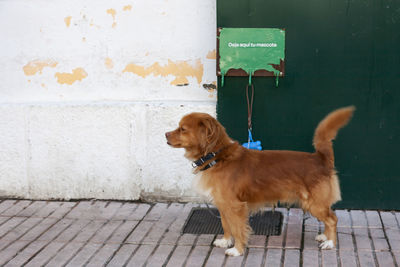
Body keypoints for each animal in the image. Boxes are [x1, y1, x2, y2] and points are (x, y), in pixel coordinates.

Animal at [165, 107, 354, 258]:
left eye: (182, 129)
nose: (165, 134)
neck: (216, 157)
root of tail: (320, 158)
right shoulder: (223, 204)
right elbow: (226, 225)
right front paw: (226, 241)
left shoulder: (235, 206)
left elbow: (238, 229)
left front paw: (237, 250)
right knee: (329, 217)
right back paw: (325, 236)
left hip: (314, 203)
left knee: (333, 219)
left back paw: (330, 243)